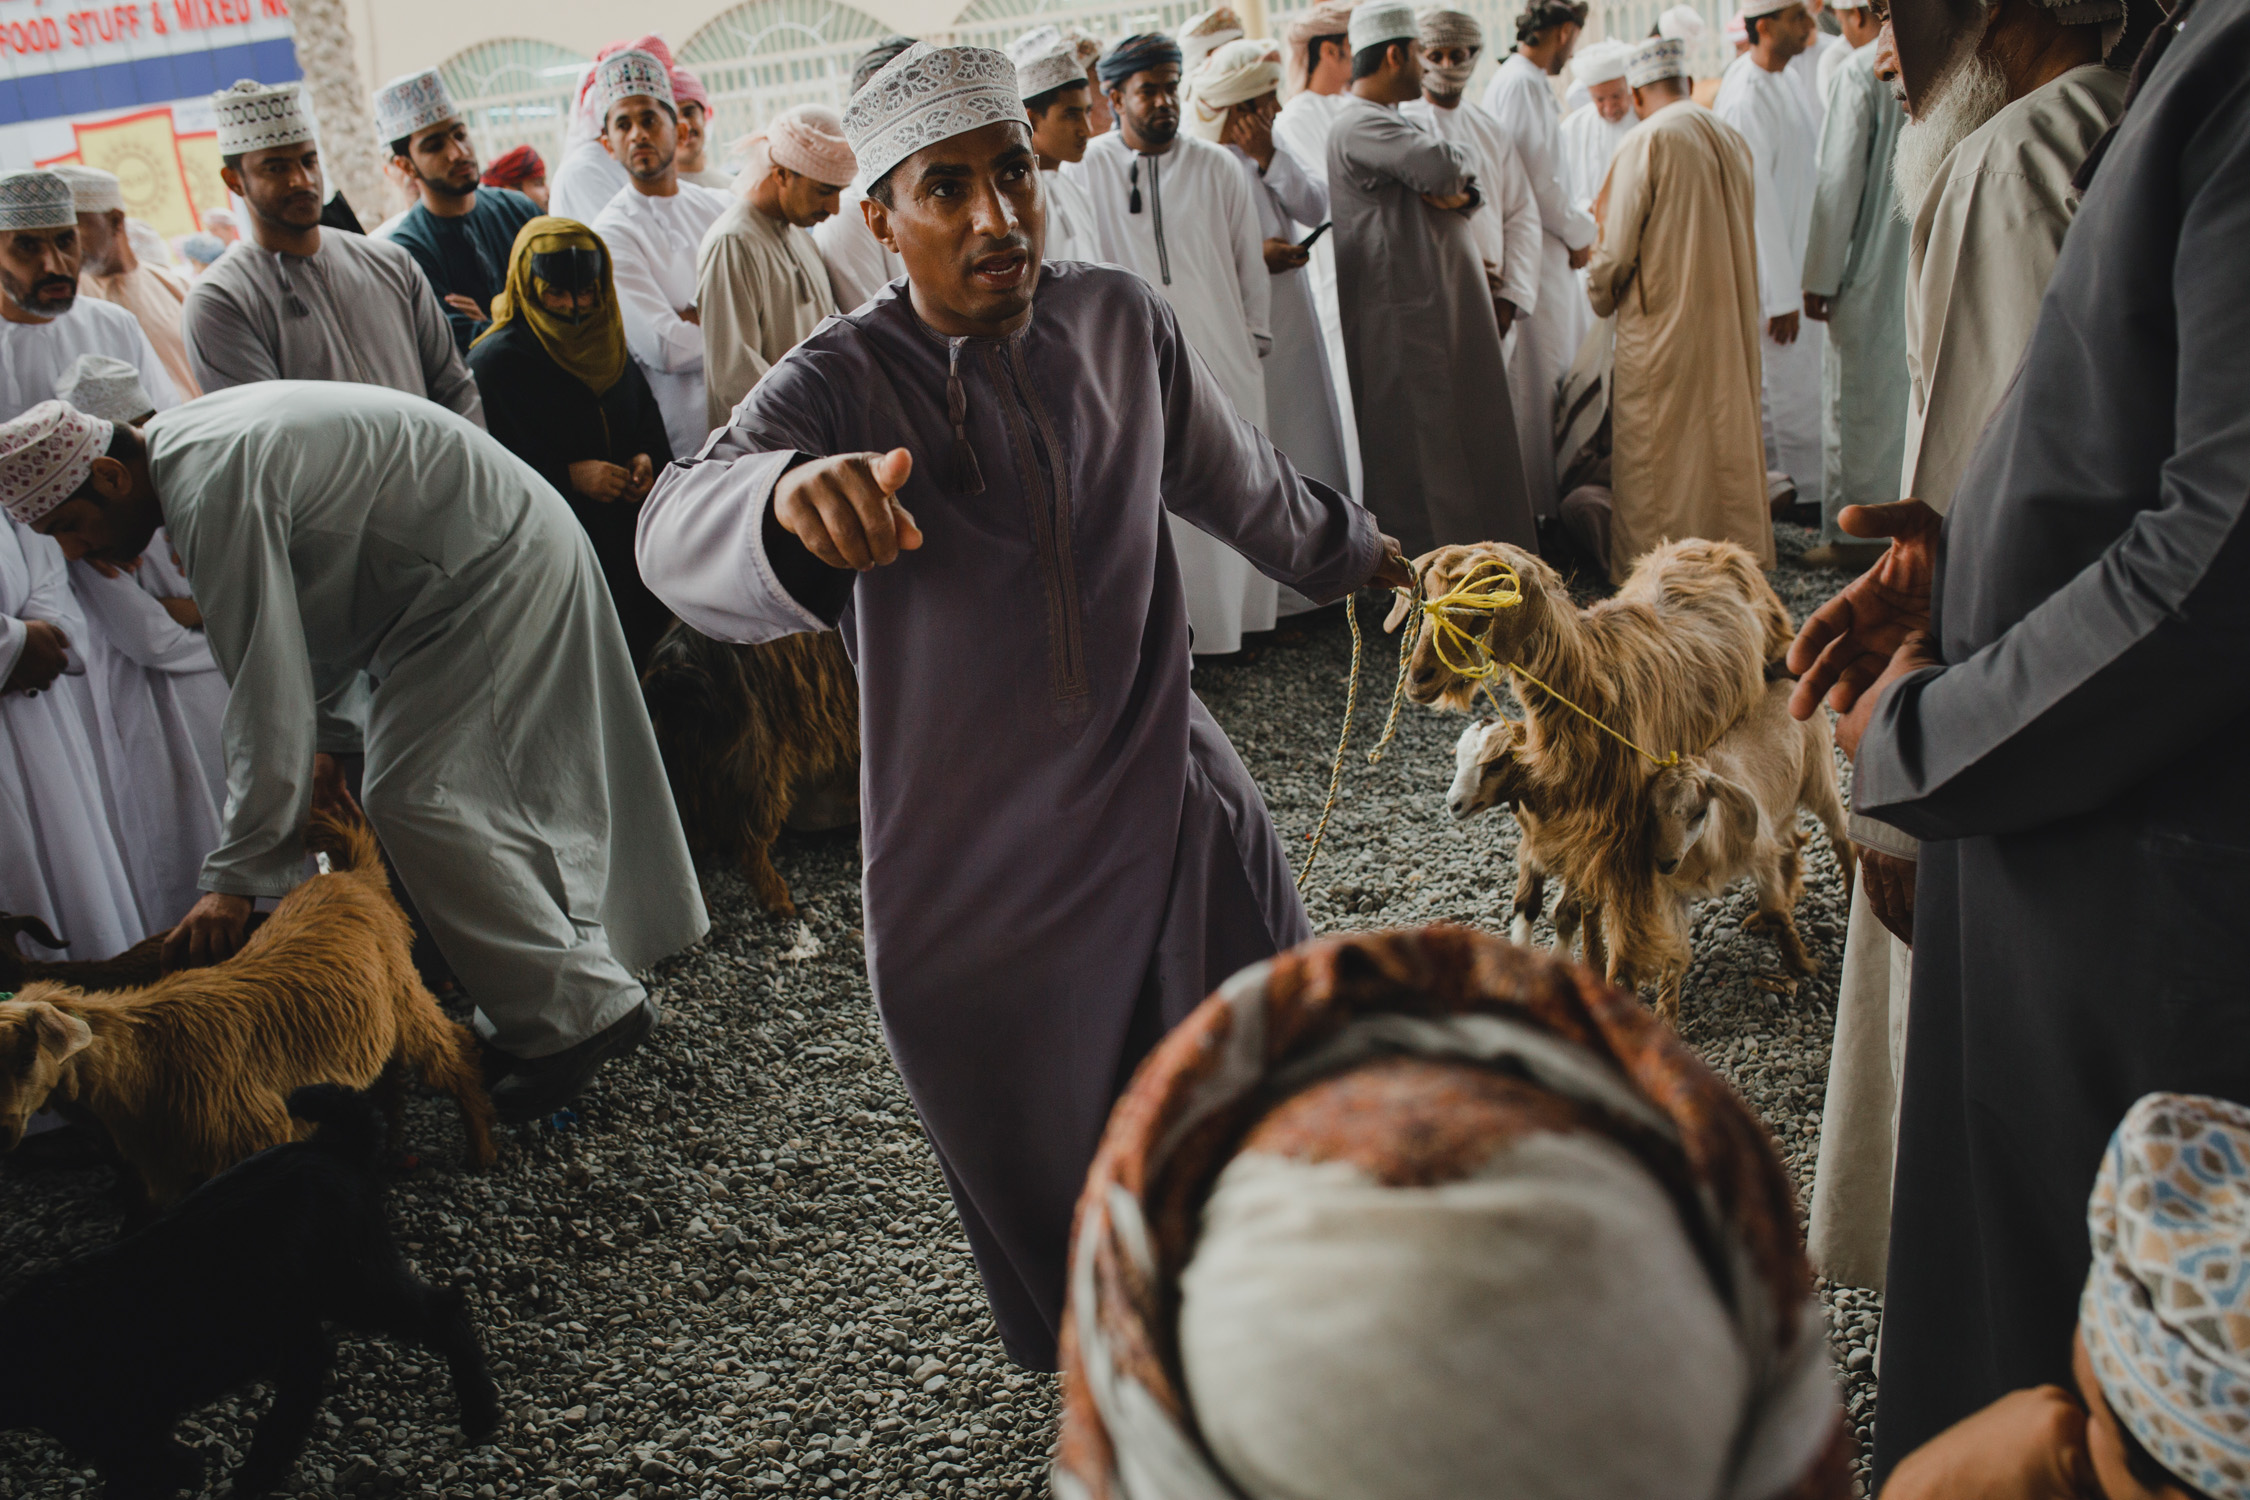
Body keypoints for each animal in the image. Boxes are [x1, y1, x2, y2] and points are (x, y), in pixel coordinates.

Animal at [0, 809, 497, 1205]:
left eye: (26, 1057)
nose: (5, 1132)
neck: (147, 1054)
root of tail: (352, 875)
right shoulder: (168, 1172)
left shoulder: (257, 1135)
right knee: (390, 1081)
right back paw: (389, 1149)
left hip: (406, 996)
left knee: (455, 1052)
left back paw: (481, 1151)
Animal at [0, 1083, 497, 1493]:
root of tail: (333, 1149)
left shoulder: (128, 1433)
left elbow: (158, 1468)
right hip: (311, 1306)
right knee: (309, 1376)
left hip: (356, 1284)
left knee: (443, 1310)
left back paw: (479, 1414)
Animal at [1611, 679, 1854, 1020]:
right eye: (1650, 814)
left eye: (1699, 812)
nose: (1665, 862)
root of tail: (1789, 683)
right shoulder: (1673, 892)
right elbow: (1676, 951)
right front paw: (1665, 1015)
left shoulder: (1761, 856)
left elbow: (1776, 911)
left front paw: (1803, 964)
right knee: (1791, 841)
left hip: (1820, 775)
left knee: (1840, 833)